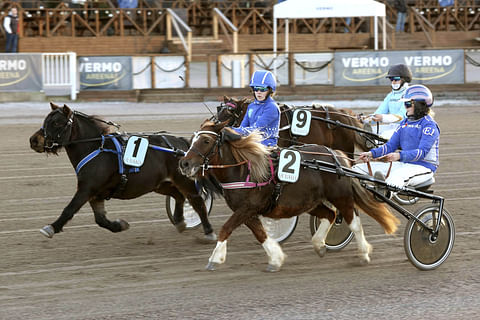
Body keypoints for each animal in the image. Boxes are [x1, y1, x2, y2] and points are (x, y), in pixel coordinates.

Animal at [29, 104, 217, 241]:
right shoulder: (95, 194)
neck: (96, 148)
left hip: (183, 180)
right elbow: (100, 220)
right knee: (178, 196)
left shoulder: (87, 188)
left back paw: (208, 231)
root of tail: (184, 145)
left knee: (197, 201)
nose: (33, 140)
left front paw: (51, 227)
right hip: (160, 184)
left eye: (56, 123)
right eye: (46, 120)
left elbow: (69, 209)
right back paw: (179, 221)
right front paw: (120, 225)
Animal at [178, 121, 400, 272]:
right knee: (329, 215)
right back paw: (319, 245)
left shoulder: (248, 208)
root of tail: (337, 156)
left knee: (352, 222)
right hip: (310, 202)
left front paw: (214, 259)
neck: (245, 171)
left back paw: (363, 254)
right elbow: (260, 234)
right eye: (193, 138)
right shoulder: (247, 211)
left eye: (206, 140)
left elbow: (226, 229)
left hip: (341, 197)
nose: (184, 163)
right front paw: (276, 259)